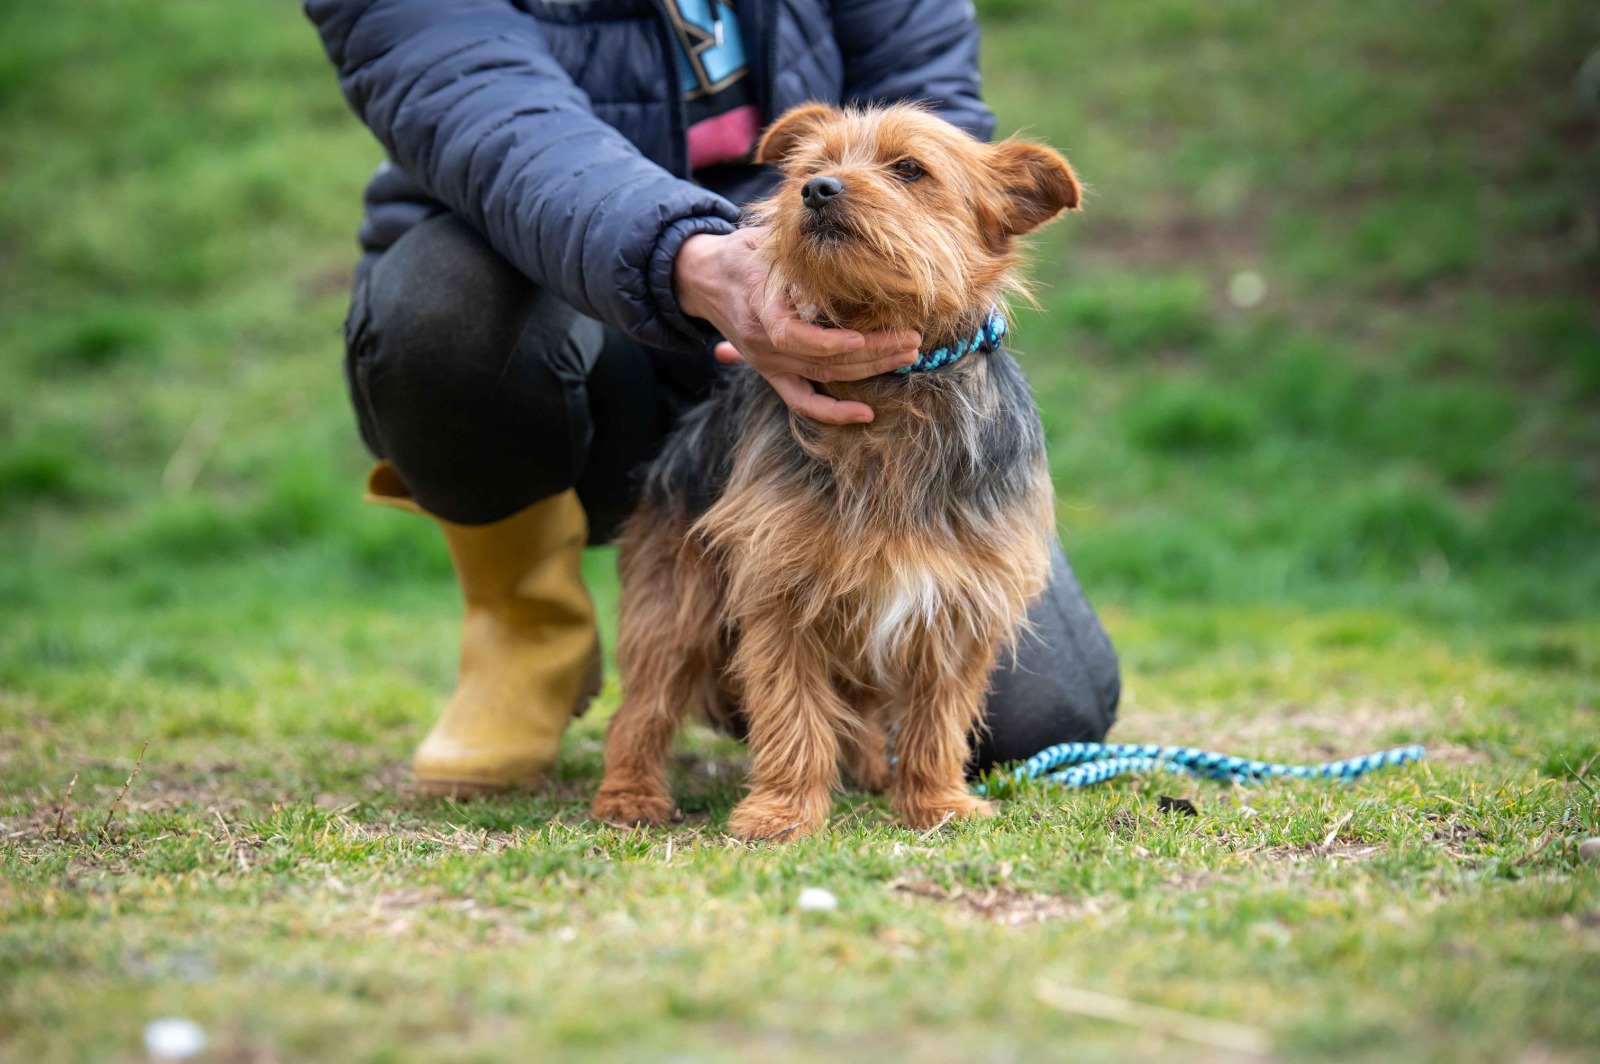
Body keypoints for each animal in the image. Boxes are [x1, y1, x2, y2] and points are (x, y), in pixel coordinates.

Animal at [592, 103, 1081, 840]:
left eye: (910, 168)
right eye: (811, 165)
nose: (817, 189)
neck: (893, 387)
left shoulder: (960, 595)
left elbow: (938, 715)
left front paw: (936, 802)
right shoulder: (782, 588)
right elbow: (791, 709)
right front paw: (783, 812)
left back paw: (876, 772)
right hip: (677, 601)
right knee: (643, 704)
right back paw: (628, 794)